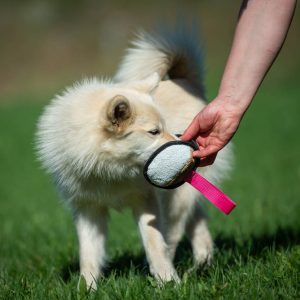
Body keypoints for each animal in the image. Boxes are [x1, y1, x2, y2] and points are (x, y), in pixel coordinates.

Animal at [35, 28, 232, 288]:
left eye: (164, 127)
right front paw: (86, 288)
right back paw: (201, 264)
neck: (109, 168)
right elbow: (89, 254)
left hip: (175, 198)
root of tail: (183, 80)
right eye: (154, 132)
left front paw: (167, 281)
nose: (187, 144)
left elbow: (154, 242)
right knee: (196, 221)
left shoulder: (146, 199)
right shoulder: (88, 210)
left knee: (175, 232)